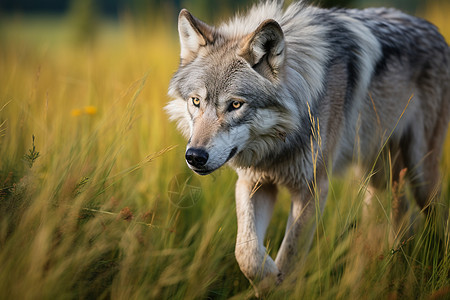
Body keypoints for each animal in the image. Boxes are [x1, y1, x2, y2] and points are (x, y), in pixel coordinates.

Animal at [166, 0, 450, 290]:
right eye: (196, 101)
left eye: (235, 104)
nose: (195, 156)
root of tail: (434, 30)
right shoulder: (254, 182)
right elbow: (246, 254)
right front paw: (267, 278)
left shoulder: (312, 189)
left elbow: (290, 257)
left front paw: (279, 283)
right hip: (376, 176)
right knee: (396, 216)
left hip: (420, 174)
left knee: (435, 216)